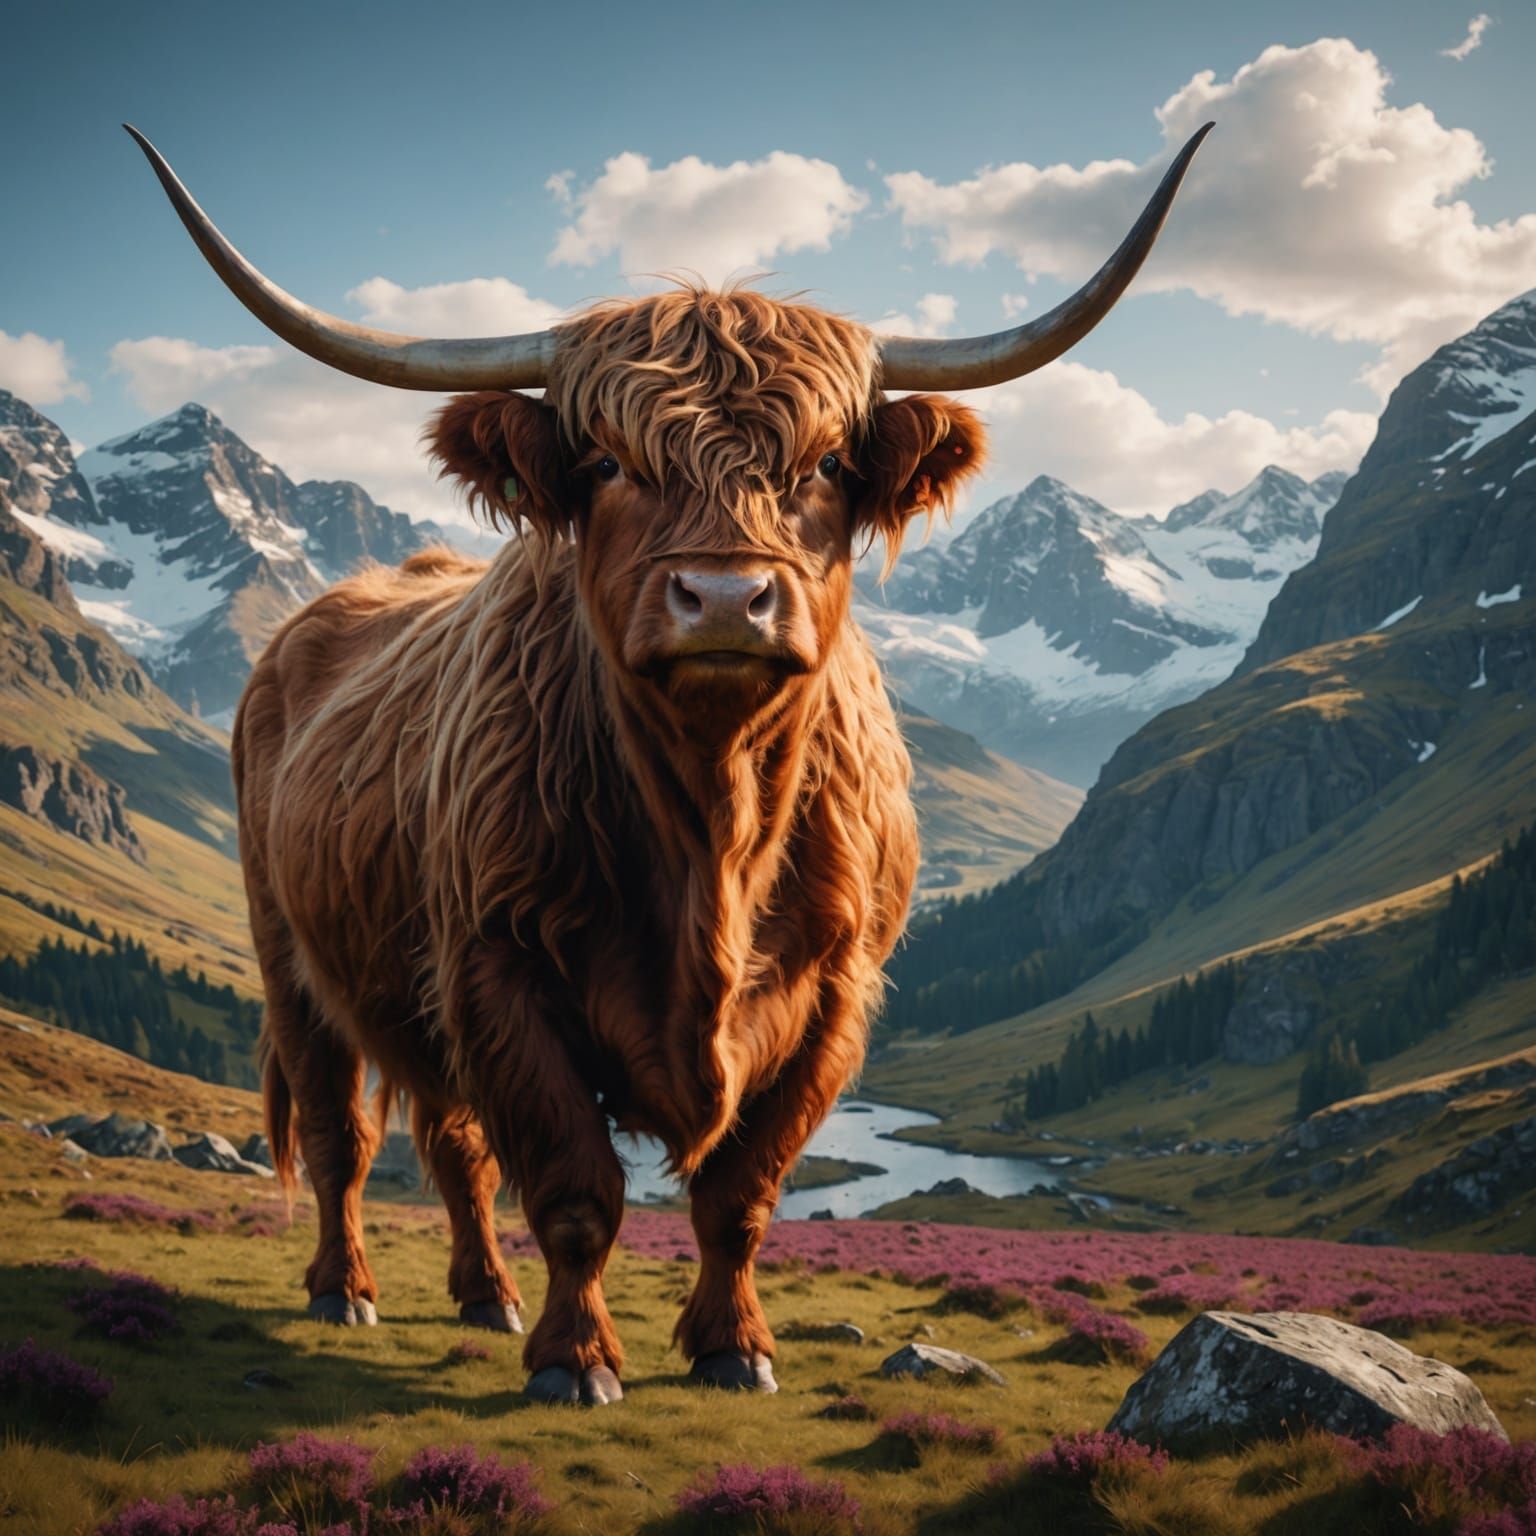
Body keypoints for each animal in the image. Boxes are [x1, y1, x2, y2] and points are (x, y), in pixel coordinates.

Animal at [127, 122, 1209, 1405]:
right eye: (605, 464)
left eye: (825, 465)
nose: (727, 599)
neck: (711, 822)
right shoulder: (499, 970)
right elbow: (575, 1189)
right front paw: (575, 1360)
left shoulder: (832, 997)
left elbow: (739, 1195)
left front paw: (733, 1348)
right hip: (291, 955)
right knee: (349, 1137)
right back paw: (348, 1291)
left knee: (450, 1140)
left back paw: (483, 1295)